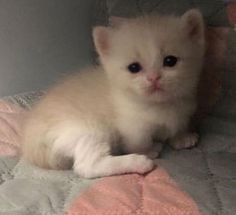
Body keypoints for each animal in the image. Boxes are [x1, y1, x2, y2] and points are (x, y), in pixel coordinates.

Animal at [21, 9, 205, 178]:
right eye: (134, 67)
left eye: (170, 61)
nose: (153, 78)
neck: (159, 105)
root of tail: (31, 141)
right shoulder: (133, 127)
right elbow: (140, 142)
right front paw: (149, 150)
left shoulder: (183, 111)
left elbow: (177, 126)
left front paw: (181, 137)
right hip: (87, 130)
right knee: (87, 166)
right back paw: (137, 162)